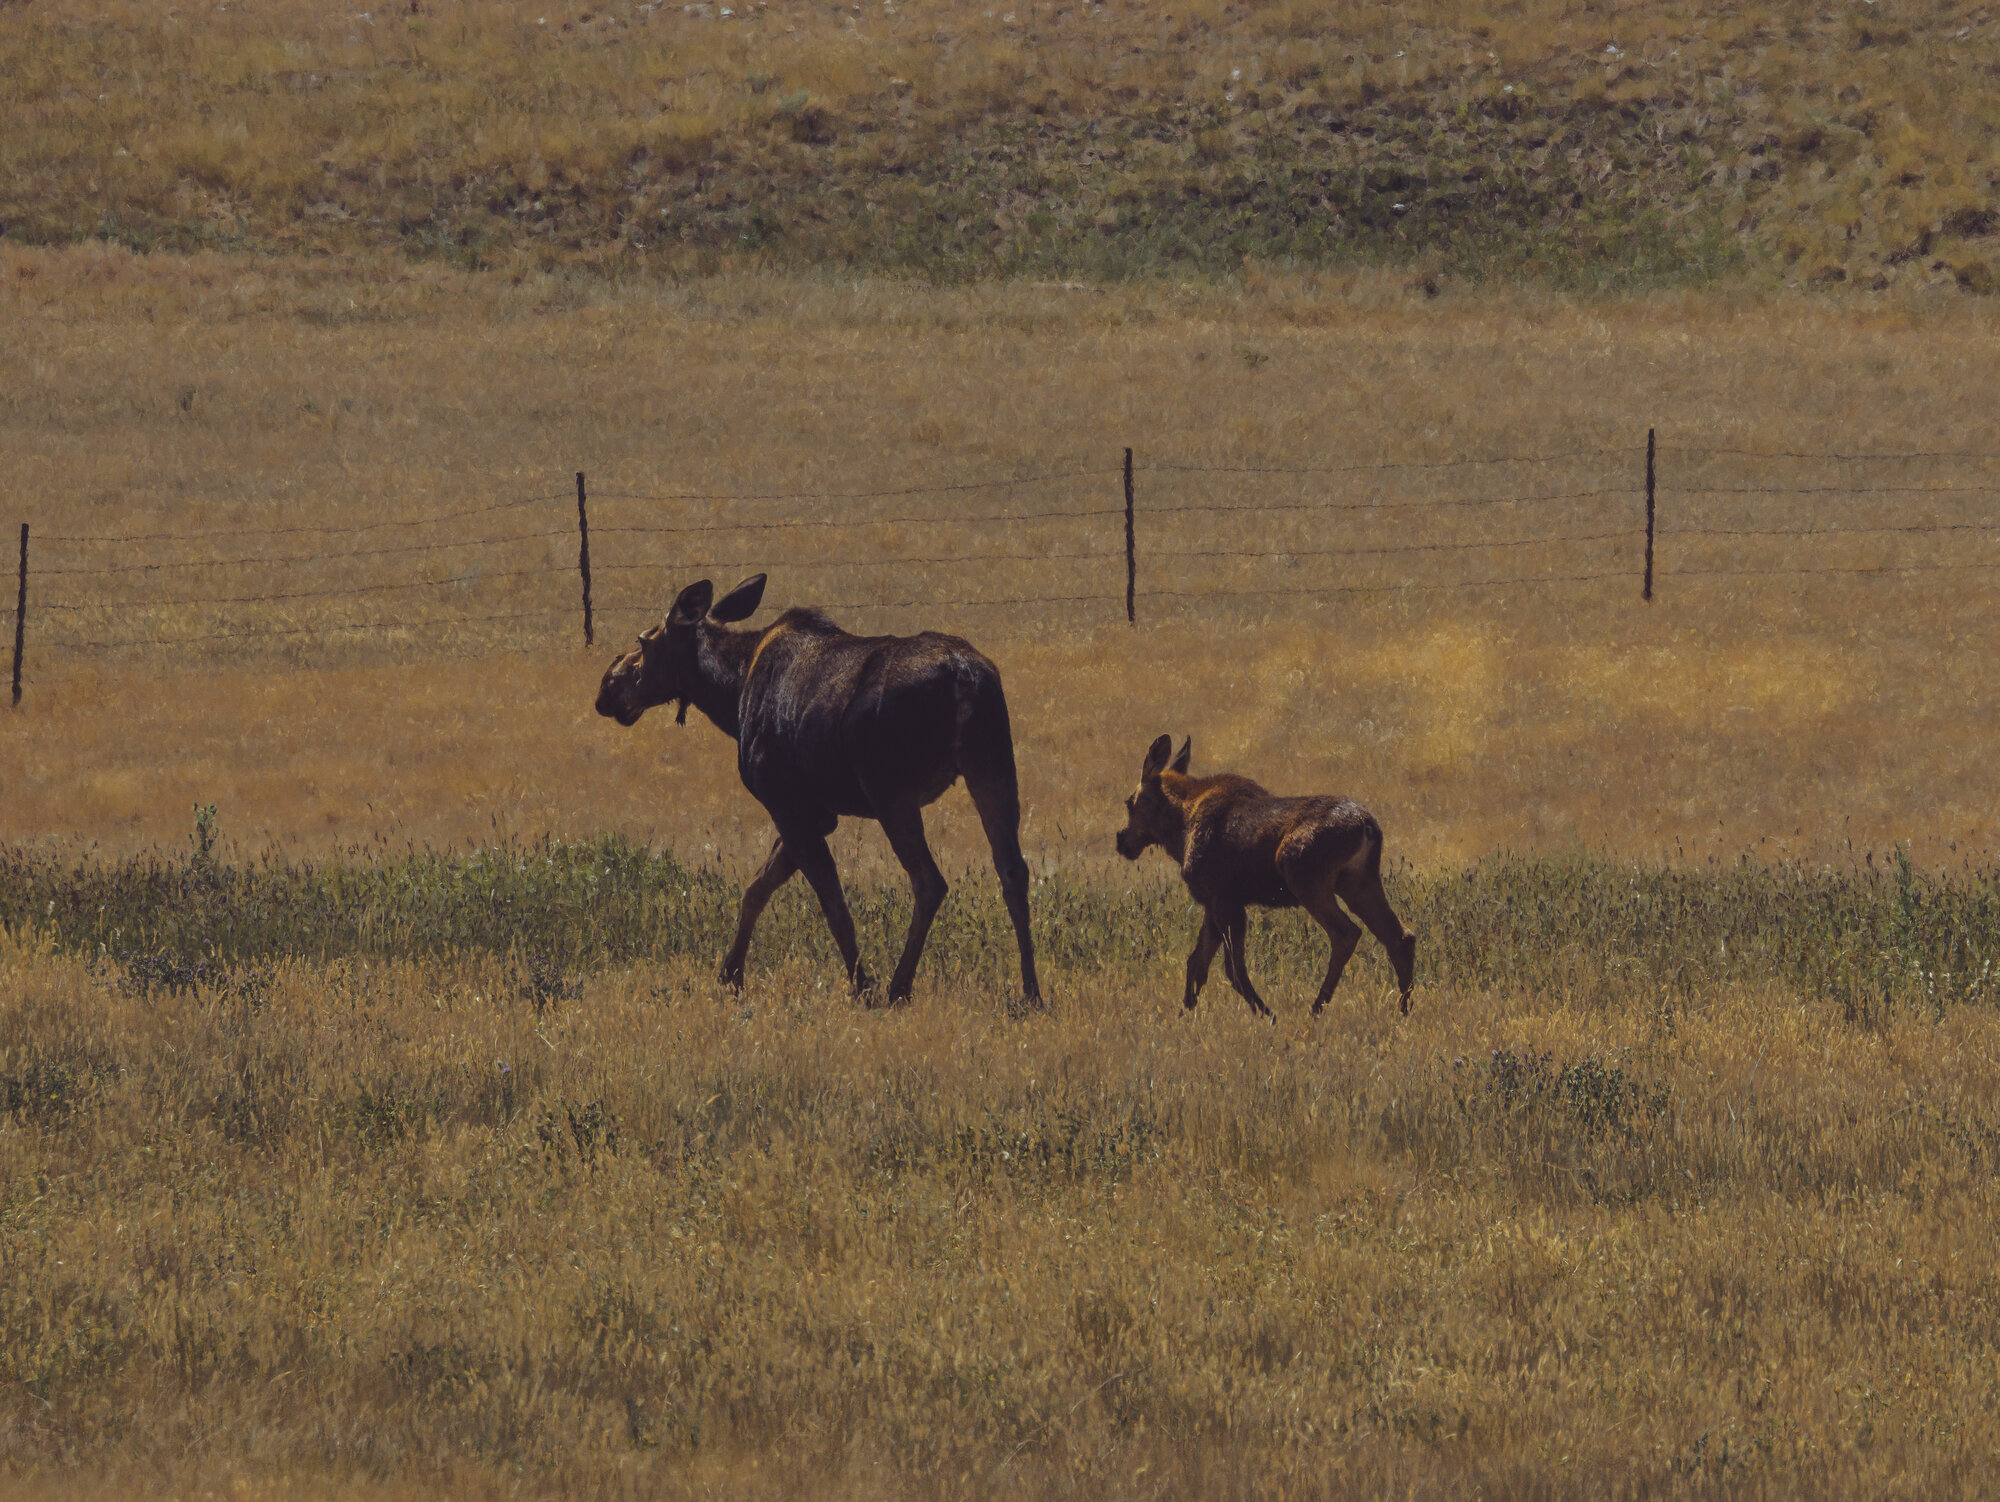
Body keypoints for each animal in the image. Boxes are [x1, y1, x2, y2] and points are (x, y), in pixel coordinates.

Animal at [595, 574, 1040, 1009]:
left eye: (643, 642)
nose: (605, 689)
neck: (730, 693)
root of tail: (966, 677)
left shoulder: (785, 802)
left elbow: (830, 901)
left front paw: (862, 985)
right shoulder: (820, 814)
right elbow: (758, 887)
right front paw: (730, 974)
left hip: (890, 790)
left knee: (930, 881)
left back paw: (899, 986)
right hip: (993, 764)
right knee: (1013, 869)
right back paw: (1031, 990)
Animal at [1114, 735, 1416, 1018]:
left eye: (1129, 802)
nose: (1122, 840)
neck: (1179, 830)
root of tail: (1369, 827)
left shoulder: (1226, 899)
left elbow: (1232, 970)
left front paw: (1268, 1014)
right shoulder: (1213, 902)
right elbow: (1197, 964)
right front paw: (1185, 1015)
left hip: (1304, 876)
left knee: (1346, 932)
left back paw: (1316, 1009)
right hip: (1358, 881)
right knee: (1401, 935)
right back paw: (1403, 1010)